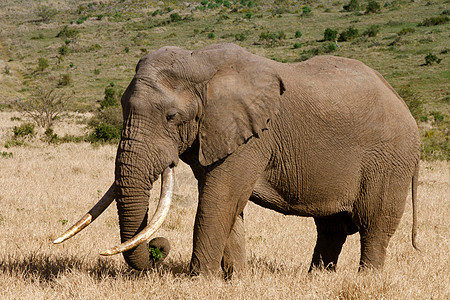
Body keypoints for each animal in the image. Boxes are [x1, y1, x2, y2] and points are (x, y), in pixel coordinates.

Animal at [54, 43, 420, 278]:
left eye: (172, 117)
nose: (159, 248)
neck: (202, 64)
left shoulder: (253, 137)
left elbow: (219, 199)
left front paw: (199, 281)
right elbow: (229, 204)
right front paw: (236, 280)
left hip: (390, 159)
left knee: (374, 225)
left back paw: (366, 281)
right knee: (331, 227)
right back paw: (317, 279)